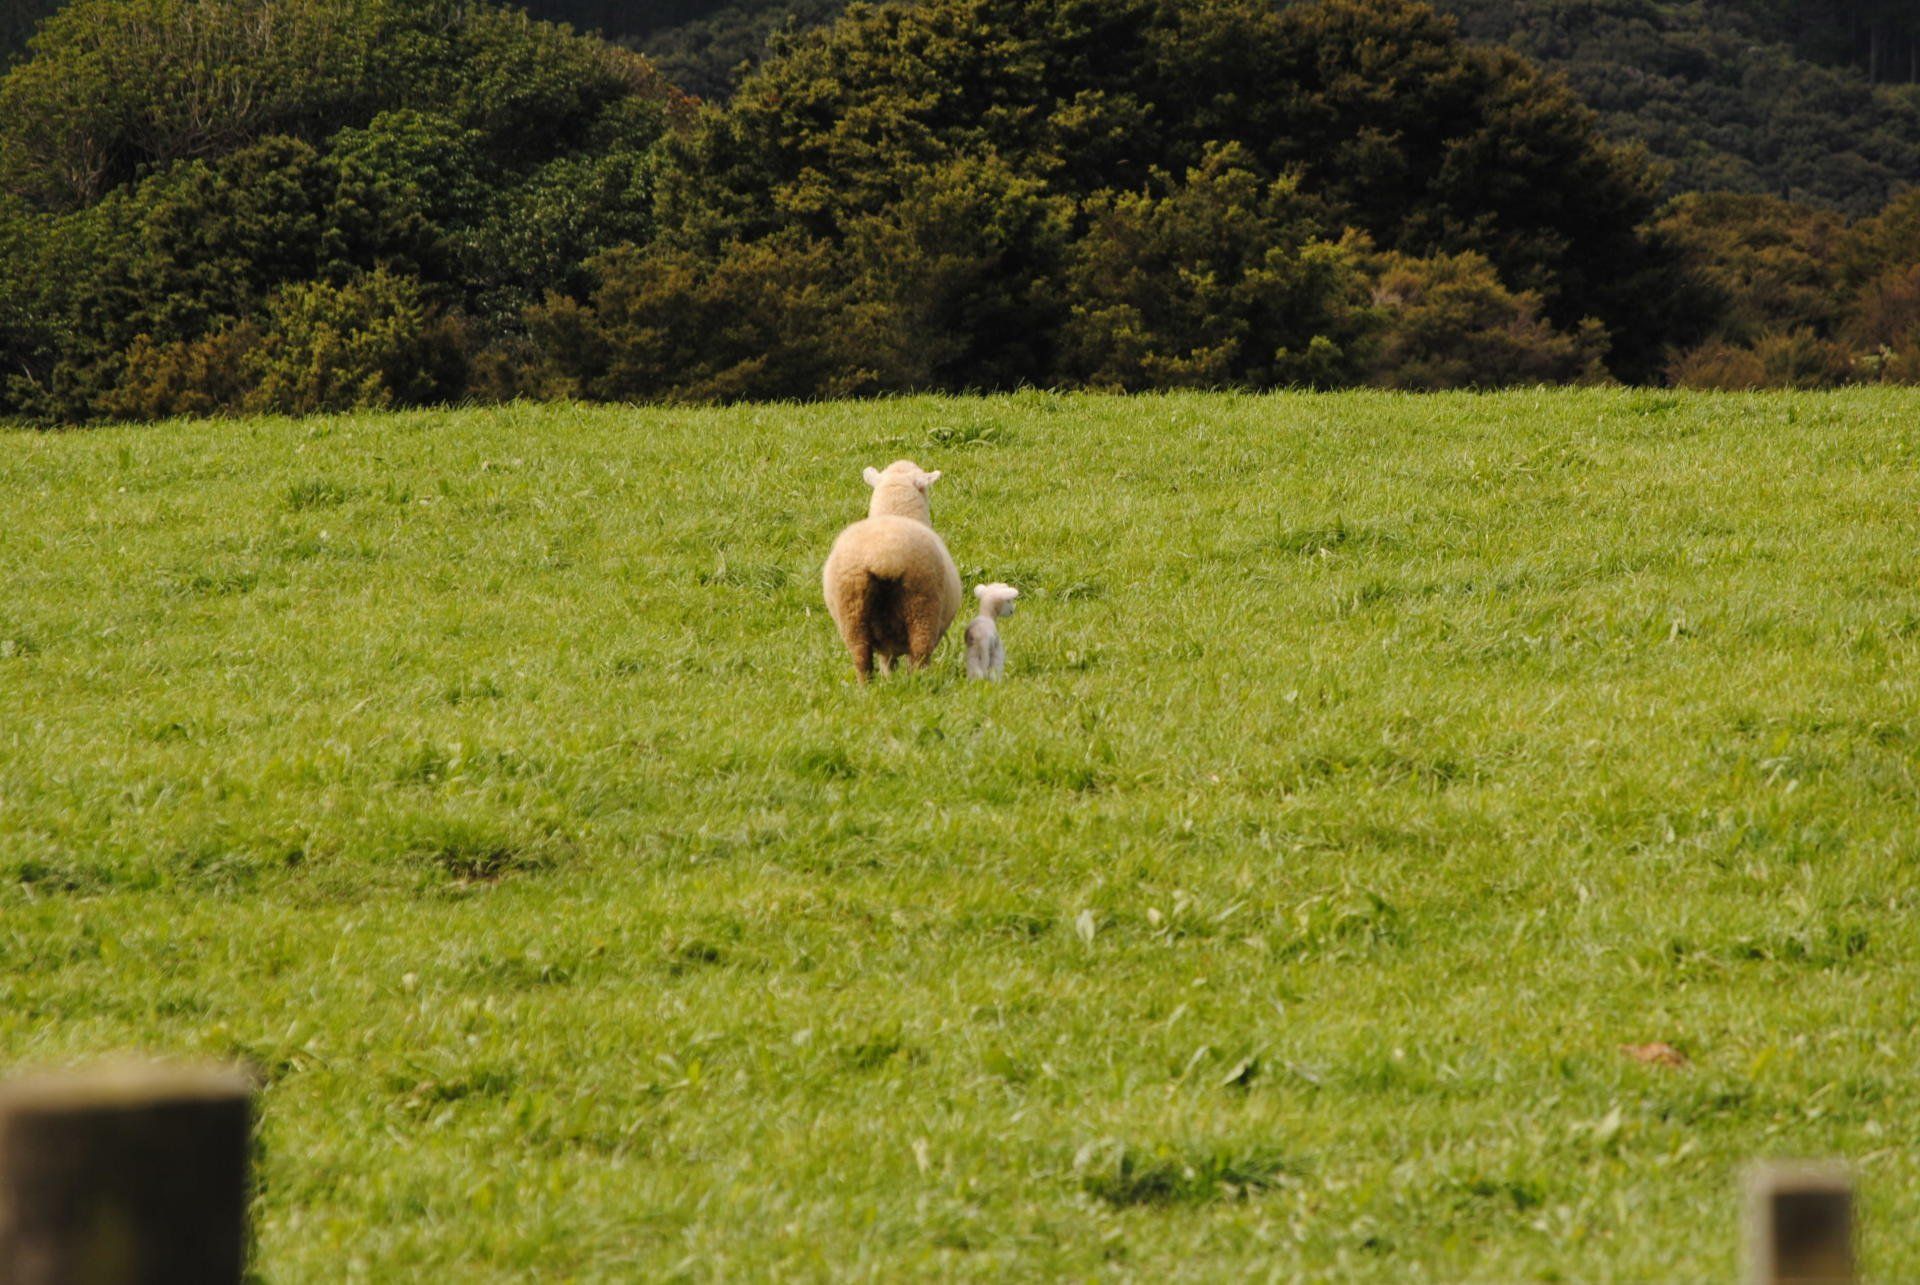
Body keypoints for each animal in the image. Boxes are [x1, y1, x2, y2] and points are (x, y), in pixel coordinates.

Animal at [821, 459, 963, 682]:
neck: (895, 510)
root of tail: (885, 558)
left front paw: (888, 682)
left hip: (852, 615)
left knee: (862, 661)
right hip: (923, 607)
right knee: (919, 657)